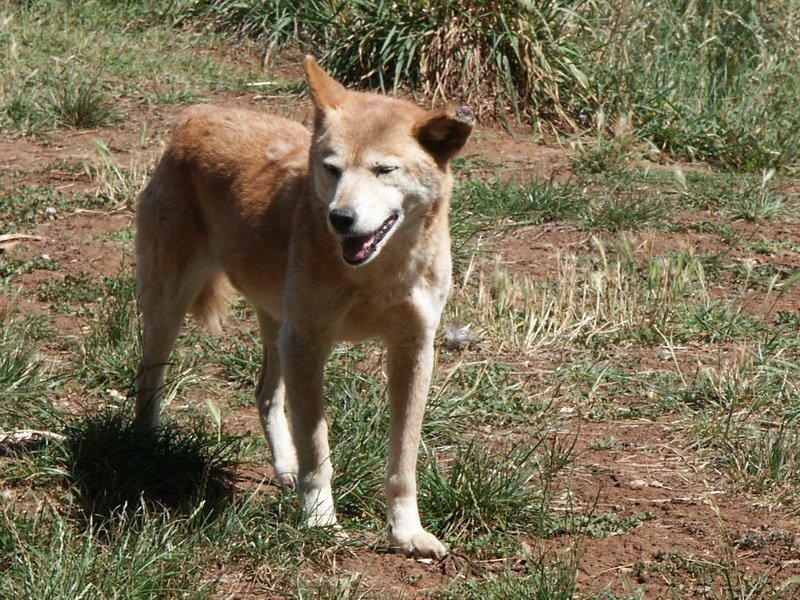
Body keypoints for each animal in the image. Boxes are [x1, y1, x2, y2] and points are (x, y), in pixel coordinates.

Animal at [135, 56, 476, 556]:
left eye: (384, 170)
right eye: (332, 168)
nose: (341, 219)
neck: (377, 275)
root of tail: (199, 114)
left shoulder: (414, 349)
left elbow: (403, 461)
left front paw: (406, 533)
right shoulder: (310, 343)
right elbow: (318, 450)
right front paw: (319, 522)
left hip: (279, 327)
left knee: (265, 394)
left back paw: (285, 467)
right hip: (171, 308)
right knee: (148, 379)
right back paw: (145, 449)